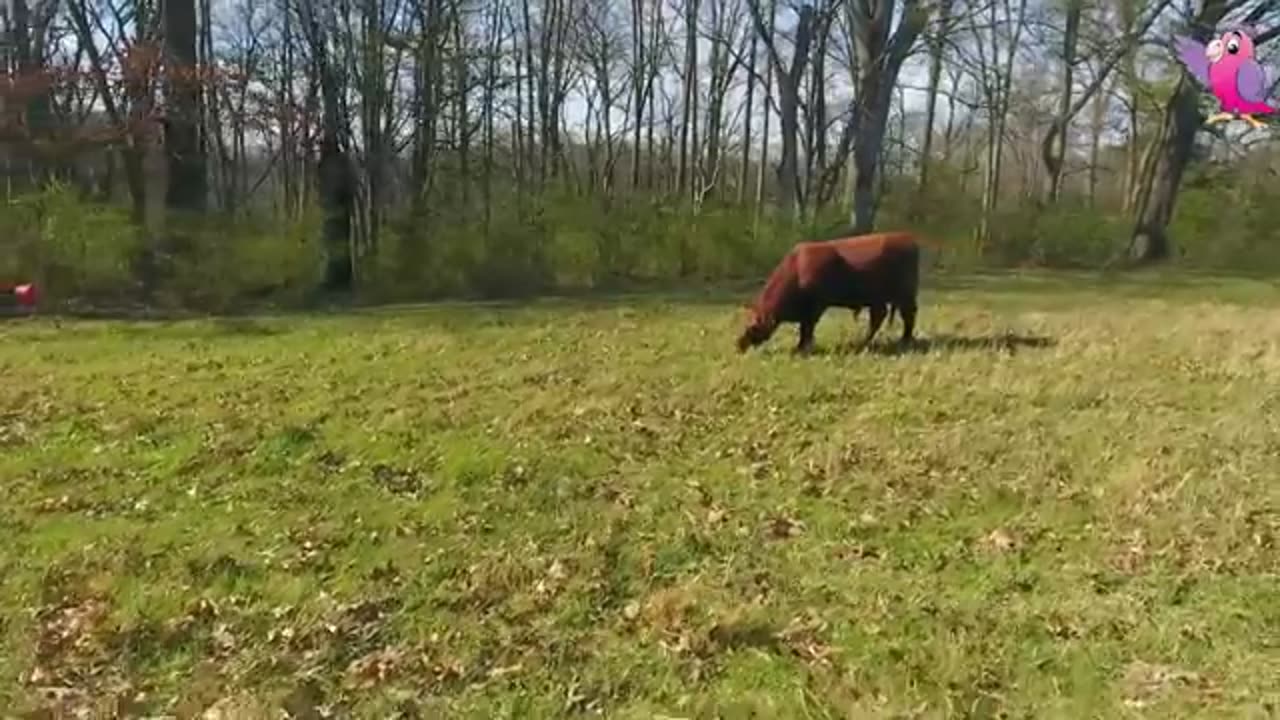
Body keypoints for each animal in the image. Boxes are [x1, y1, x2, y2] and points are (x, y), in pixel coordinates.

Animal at [736, 231, 921, 354]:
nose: (739, 344)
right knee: (879, 317)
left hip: (905, 296)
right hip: (878, 299)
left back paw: (904, 341)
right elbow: (804, 328)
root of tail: (907, 238)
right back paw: (863, 342)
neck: (798, 270)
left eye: (753, 326)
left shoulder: (815, 308)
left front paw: (802, 348)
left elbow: (807, 328)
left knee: (907, 316)